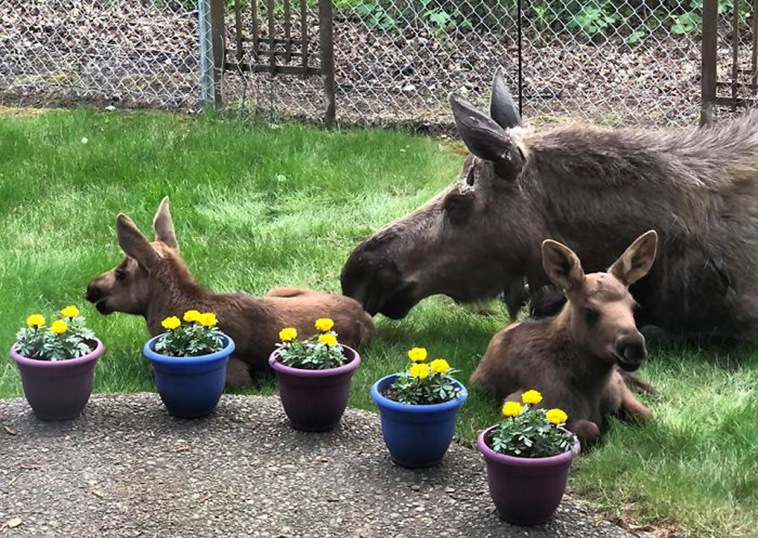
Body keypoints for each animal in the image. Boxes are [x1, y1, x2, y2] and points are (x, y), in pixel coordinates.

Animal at [85, 197, 375, 387]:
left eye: (121, 273)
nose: (91, 288)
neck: (165, 312)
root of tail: (366, 319)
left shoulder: (236, 374)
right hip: (277, 290)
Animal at [469, 230, 658, 448]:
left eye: (634, 306)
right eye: (590, 310)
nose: (633, 346)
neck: (591, 385)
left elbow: (647, 415)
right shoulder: (517, 404)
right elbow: (589, 428)